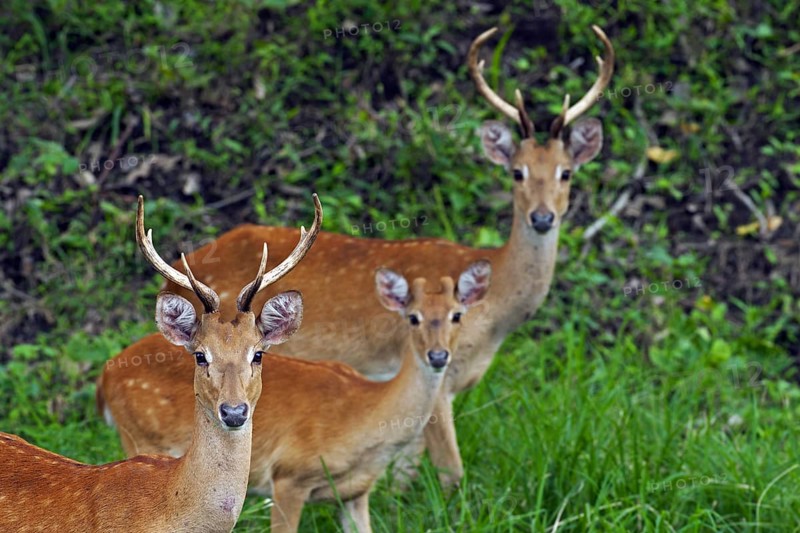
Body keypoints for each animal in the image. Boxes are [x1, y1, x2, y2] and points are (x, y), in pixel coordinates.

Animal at [99, 214, 491, 532]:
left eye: (258, 353)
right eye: (413, 318)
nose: (438, 356)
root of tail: (104, 377)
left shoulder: (355, 493)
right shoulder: (288, 475)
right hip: (138, 438)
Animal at [110, 25, 615, 489]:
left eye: (567, 172)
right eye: (516, 172)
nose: (542, 216)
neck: (495, 317)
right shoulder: (436, 377)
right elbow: (448, 472)